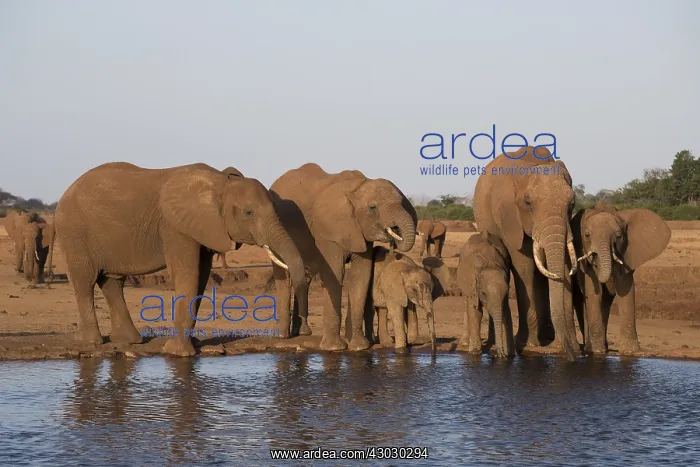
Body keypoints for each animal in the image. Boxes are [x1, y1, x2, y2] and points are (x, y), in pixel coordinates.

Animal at [54, 162, 308, 357]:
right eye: (249, 213)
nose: (305, 329)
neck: (219, 184)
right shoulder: (175, 228)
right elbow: (188, 273)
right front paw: (179, 353)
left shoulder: (205, 229)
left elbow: (201, 276)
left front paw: (191, 346)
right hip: (75, 234)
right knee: (85, 280)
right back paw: (91, 342)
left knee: (113, 282)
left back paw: (129, 340)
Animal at [269, 163, 417, 350]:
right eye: (372, 208)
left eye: (402, 203)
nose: (393, 242)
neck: (357, 187)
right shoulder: (328, 232)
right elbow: (335, 274)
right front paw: (334, 348)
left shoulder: (361, 233)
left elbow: (362, 276)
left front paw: (359, 346)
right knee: (284, 275)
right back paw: (283, 336)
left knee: (304, 276)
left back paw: (302, 333)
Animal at [473, 145, 581, 360]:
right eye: (528, 203)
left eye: (572, 203)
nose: (572, 356)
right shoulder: (510, 217)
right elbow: (524, 267)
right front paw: (529, 345)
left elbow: (563, 264)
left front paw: (573, 348)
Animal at [571, 202, 671, 354]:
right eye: (587, 235)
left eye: (618, 236)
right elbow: (593, 292)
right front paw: (597, 352)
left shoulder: (627, 255)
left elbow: (625, 289)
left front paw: (631, 352)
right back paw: (591, 348)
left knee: (605, 302)